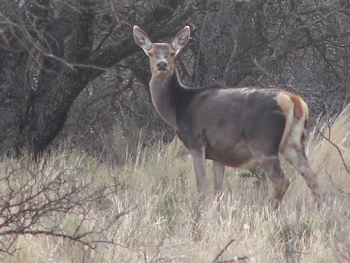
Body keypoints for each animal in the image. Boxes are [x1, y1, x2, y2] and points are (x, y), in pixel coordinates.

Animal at [133, 25, 324, 209]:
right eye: (150, 52)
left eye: (173, 52)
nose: (162, 64)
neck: (178, 110)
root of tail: (294, 100)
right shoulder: (218, 154)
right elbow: (218, 190)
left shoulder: (196, 142)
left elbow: (201, 187)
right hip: (293, 142)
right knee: (313, 178)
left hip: (263, 142)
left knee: (282, 181)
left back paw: (269, 210)